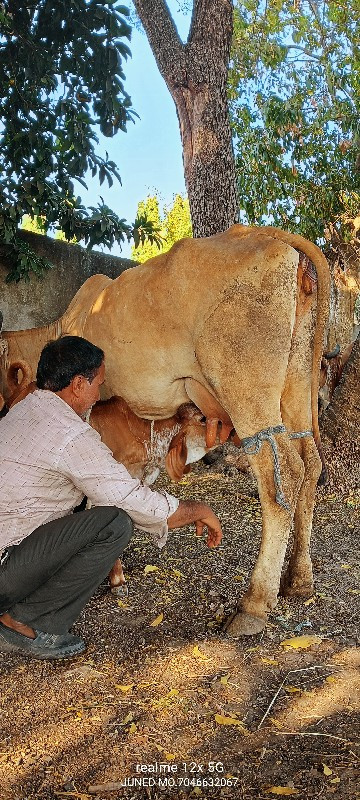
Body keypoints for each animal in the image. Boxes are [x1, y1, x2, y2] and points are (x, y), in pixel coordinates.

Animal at [0, 227, 332, 636]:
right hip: (297, 383)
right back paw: (298, 581)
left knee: (282, 474)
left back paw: (253, 605)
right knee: (310, 464)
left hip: (247, 391)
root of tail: (271, 236)